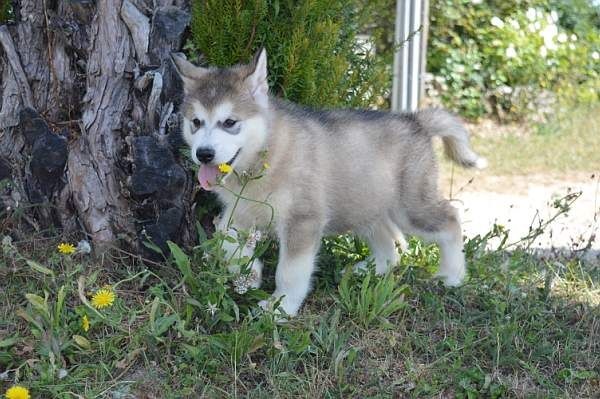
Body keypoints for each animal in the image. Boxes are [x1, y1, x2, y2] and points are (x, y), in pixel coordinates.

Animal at [171, 48, 486, 318]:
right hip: (364, 202)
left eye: (229, 122)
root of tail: (415, 121)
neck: (264, 157)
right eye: (196, 122)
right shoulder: (240, 211)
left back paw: (452, 276)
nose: (204, 154)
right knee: (391, 242)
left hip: (410, 207)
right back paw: (371, 269)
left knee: (450, 219)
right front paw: (249, 275)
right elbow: (224, 237)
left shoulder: (303, 220)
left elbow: (290, 271)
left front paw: (280, 307)